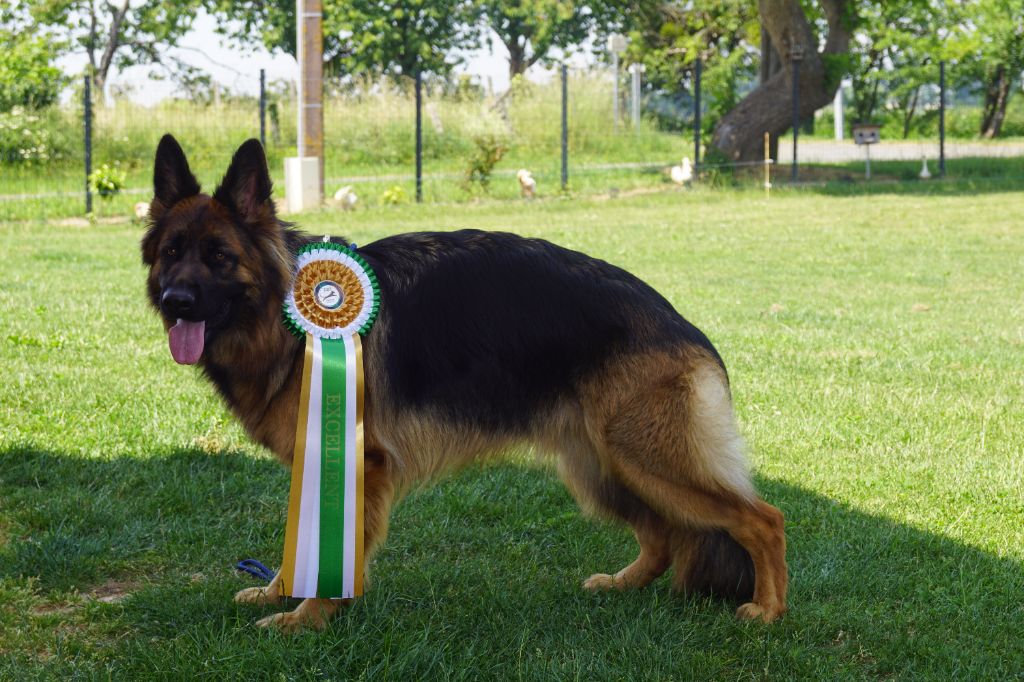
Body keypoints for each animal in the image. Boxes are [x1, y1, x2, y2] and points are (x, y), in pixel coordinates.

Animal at [140, 135, 786, 630]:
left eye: (219, 258)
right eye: (171, 252)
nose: (175, 302)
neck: (284, 318)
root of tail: (685, 327)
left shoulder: (356, 464)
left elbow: (332, 557)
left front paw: (309, 617)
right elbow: (299, 545)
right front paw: (280, 592)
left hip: (645, 459)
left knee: (762, 519)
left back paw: (768, 611)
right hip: (602, 466)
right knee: (664, 536)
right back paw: (623, 584)